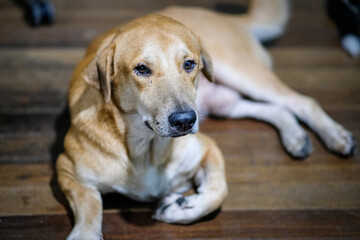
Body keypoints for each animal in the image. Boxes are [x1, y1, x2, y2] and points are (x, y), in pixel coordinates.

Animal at [57, 0, 354, 239]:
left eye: (189, 64)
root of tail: (222, 17)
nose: (185, 120)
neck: (146, 148)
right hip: (225, 103)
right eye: (141, 69)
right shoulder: (68, 171)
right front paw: (85, 233)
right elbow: (90, 207)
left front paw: (181, 207)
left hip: (241, 74)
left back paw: (335, 136)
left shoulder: (209, 148)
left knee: (301, 102)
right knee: (277, 110)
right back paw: (296, 137)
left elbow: (218, 191)